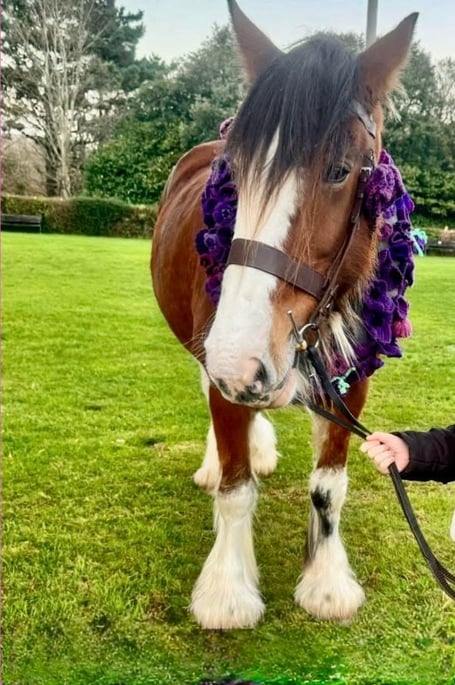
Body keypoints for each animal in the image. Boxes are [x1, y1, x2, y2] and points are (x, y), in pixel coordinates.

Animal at [151, 0, 417, 629]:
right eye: (236, 172)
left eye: (341, 170)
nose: (243, 359)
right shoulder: (225, 367)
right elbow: (235, 489)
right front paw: (228, 591)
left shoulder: (352, 381)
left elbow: (328, 486)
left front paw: (326, 582)